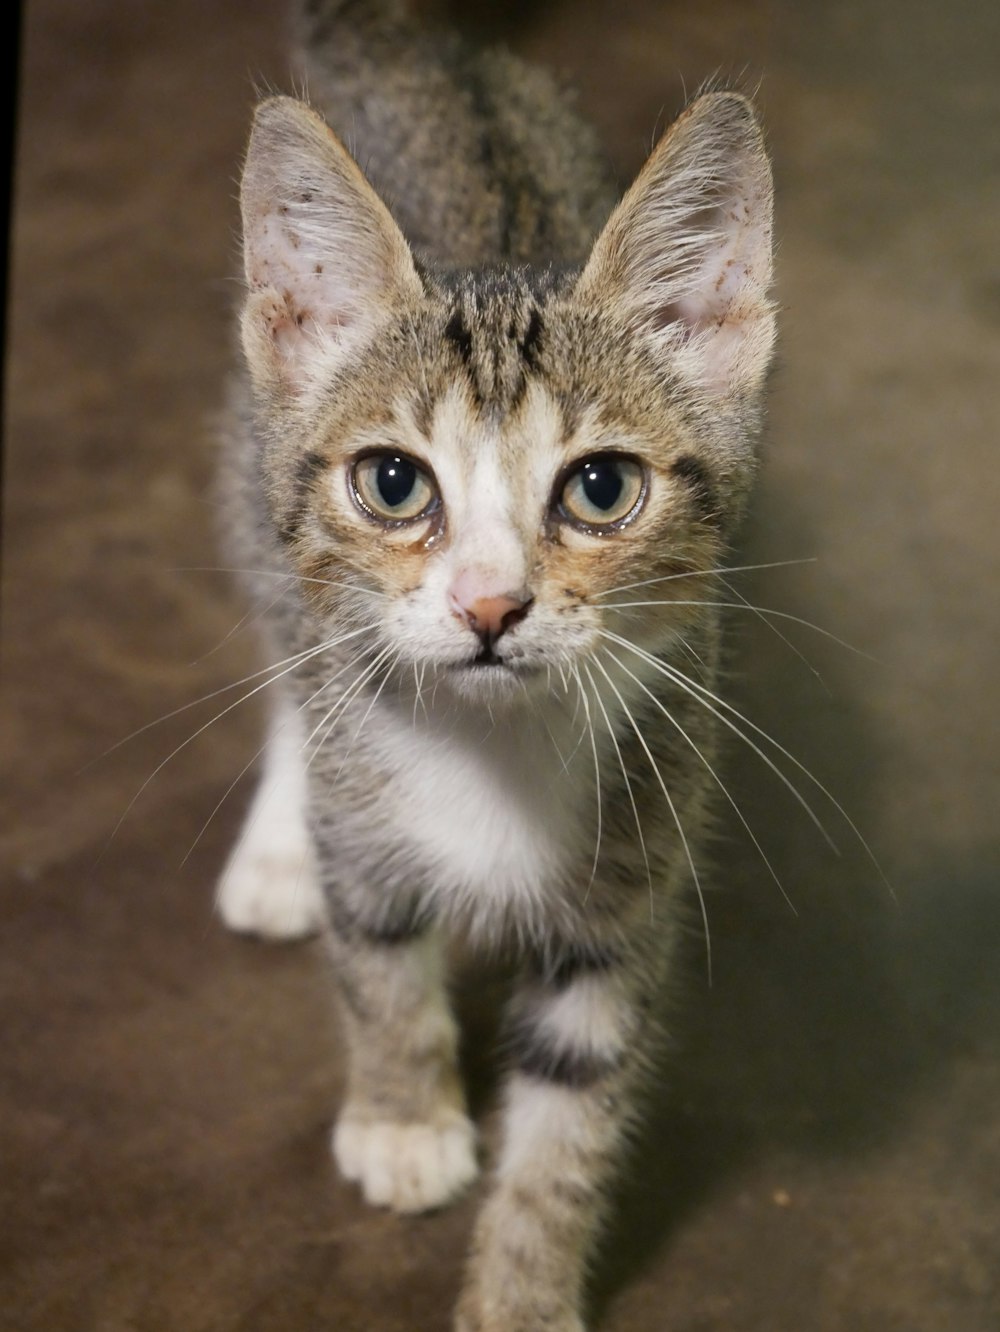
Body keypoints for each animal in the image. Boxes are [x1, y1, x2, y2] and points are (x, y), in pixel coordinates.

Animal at [218, 2, 777, 1332]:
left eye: (601, 488)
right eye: (392, 482)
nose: (488, 604)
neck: (490, 749)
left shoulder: (628, 893)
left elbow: (572, 1113)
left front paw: (522, 1286)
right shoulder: (365, 836)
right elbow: (377, 968)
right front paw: (404, 1116)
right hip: (244, 476)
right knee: (284, 639)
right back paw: (273, 850)